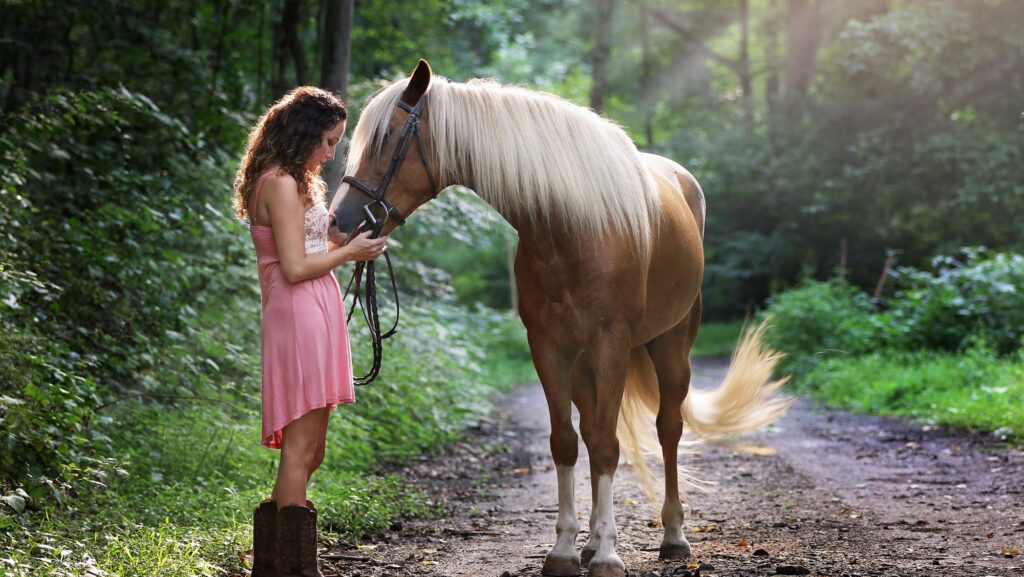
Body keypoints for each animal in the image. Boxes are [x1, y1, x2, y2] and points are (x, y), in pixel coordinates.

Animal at [330, 60, 790, 577]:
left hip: (671, 346)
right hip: (585, 364)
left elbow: (609, 444)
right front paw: (568, 549)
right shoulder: (549, 348)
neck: (572, 227)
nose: (338, 222)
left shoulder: (611, 344)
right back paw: (591, 542)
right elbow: (567, 443)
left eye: (387, 137)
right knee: (591, 431)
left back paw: (673, 536)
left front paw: (609, 555)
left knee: (667, 428)